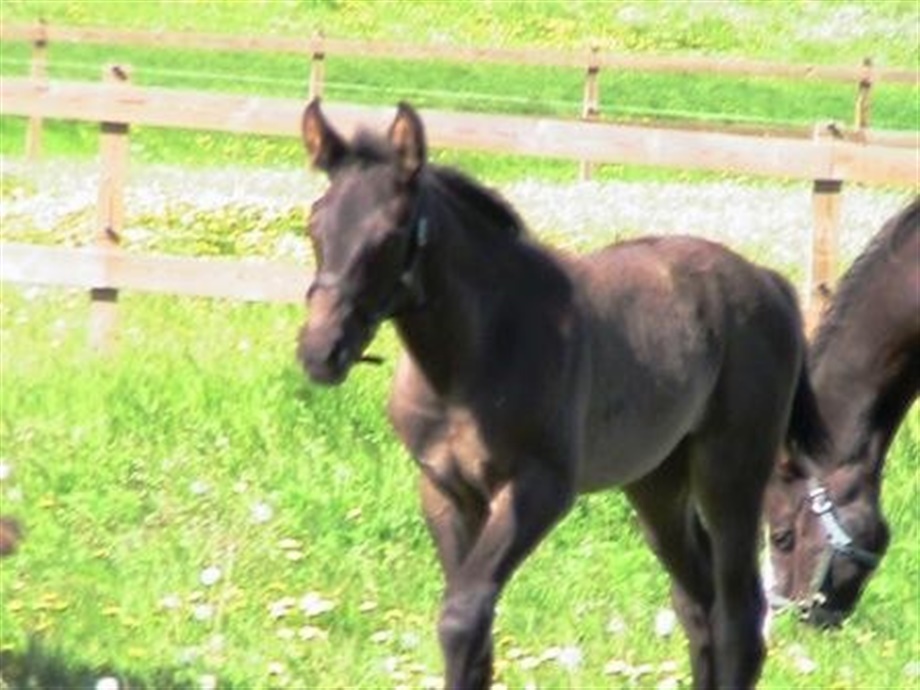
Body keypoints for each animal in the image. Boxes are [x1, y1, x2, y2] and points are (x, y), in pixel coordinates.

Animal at [295, 99, 826, 689]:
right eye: (315, 223)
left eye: (389, 234)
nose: (321, 351)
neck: (470, 358)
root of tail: (767, 280)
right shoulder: (444, 489)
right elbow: (475, 631)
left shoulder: (540, 487)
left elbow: (462, 616)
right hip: (656, 483)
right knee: (697, 604)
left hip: (731, 473)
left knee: (739, 616)